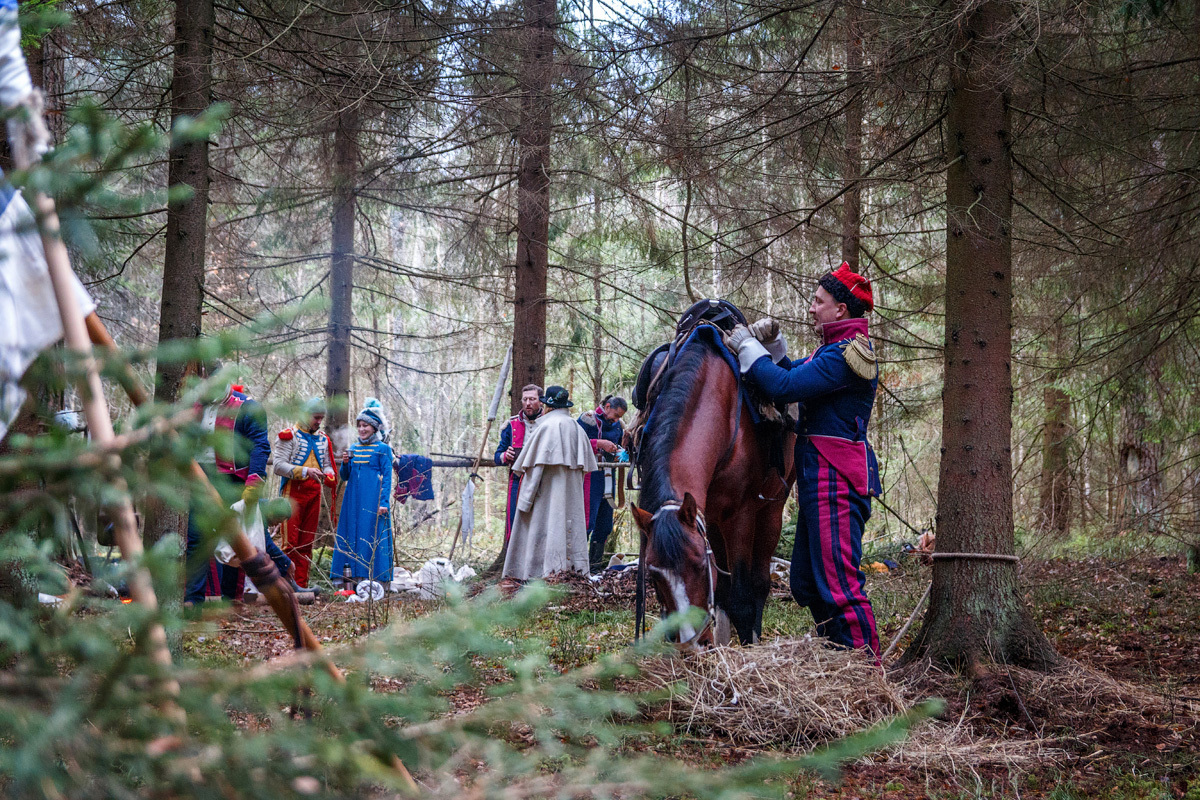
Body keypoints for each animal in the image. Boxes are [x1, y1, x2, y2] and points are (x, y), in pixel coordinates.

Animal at [628, 321, 796, 647]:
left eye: (698, 564)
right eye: (653, 576)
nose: (692, 642)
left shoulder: (740, 515)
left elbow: (743, 599)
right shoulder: (707, 517)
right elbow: (723, 594)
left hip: (772, 508)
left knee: (759, 583)